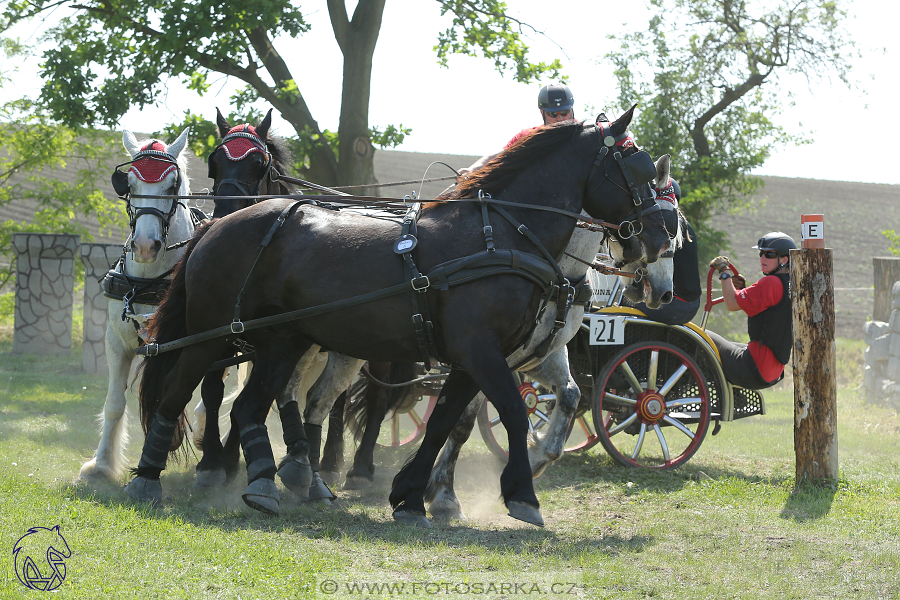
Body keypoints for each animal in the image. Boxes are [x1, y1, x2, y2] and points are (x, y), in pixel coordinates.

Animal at [78, 130, 199, 482]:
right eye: (129, 184)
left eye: (172, 186)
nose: (145, 246)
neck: (147, 281)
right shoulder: (115, 343)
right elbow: (114, 403)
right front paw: (101, 465)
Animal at [130, 108, 672, 524]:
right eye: (638, 171)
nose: (657, 242)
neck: (500, 234)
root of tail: (218, 224)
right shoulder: (481, 350)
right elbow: (513, 413)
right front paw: (520, 493)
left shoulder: (475, 357)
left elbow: (445, 422)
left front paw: (412, 495)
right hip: (212, 335)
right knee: (182, 393)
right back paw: (153, 478)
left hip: (282, 343)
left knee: (251, 406)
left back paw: (270, 481)